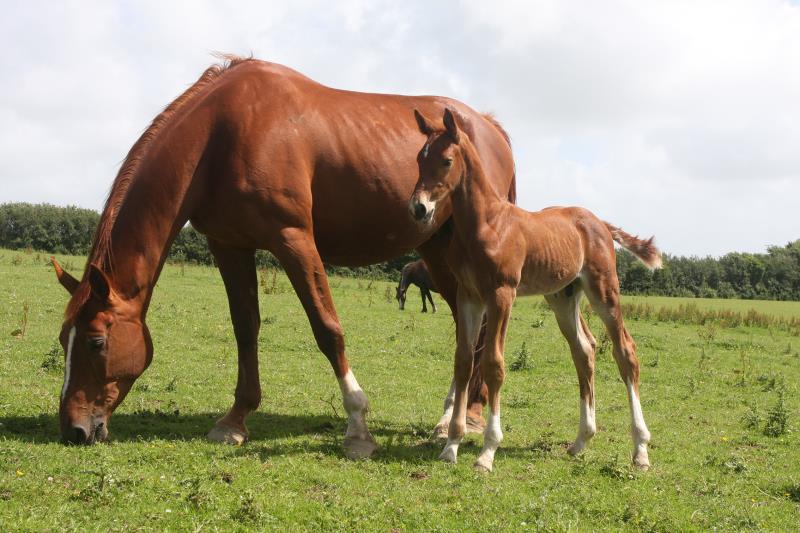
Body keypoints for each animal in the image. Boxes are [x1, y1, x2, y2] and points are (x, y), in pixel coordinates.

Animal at [50, 55, 516, 458]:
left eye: (95, 341)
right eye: (62, 338)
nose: (73, 429)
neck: (221, 134)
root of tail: (490, 128)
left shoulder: (293, 239)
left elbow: (327, 329)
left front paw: (358, 428)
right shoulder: (229, 245)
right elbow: (245, 328)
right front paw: (235, 420)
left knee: (477, 332)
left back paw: (468, 417)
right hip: (436, 248)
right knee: (466, 329)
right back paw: (453, 416)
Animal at [410, 108, 660, 470]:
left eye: (445, 160)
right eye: (419, 158)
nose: (418, 208)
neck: (486, 223)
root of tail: (599, 222)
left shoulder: (502, 293)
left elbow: (493, 363)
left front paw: (487, 452)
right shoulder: (468, 295)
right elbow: (463, 361)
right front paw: (451, 445)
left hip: (604, 289)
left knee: (625, 352)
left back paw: (640, 450)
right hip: (563, 296)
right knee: (584, 350)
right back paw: (580, 441)